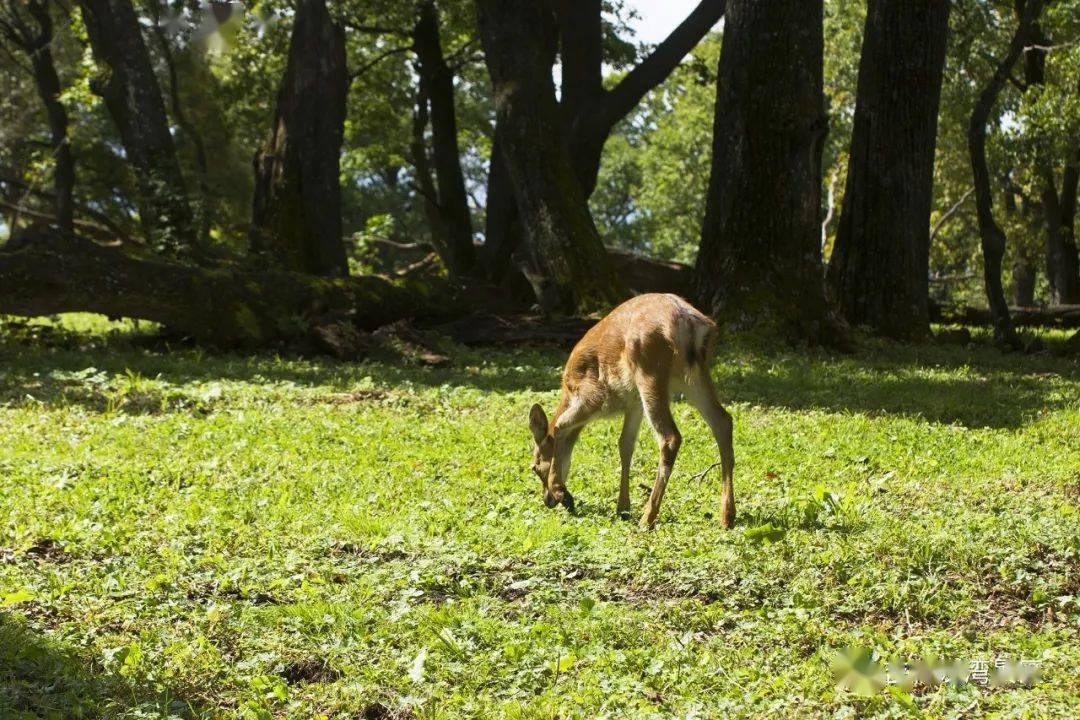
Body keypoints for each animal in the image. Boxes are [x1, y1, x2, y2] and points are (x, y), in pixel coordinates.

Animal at [529, 293, 734, 528]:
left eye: (535, 467)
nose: (547, 500)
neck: (568, 390)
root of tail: (689, 324)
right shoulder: (633, 402)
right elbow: (625, 445)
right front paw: (623, 507)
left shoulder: (593, 394)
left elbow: (561, 425)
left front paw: (561, 492)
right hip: (694, 374)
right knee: (723, 421)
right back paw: (727, 516)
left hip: (649, 370)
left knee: (670, 437)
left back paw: (648, 517)